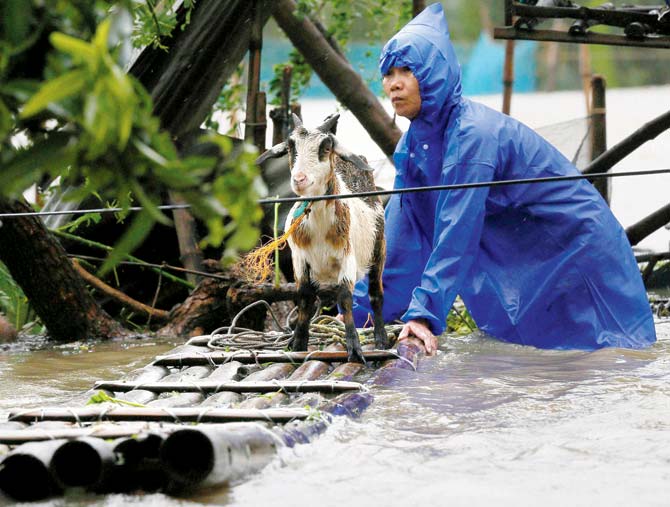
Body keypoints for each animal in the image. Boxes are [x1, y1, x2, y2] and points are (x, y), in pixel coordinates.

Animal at [258, 113, 394, 364]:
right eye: (290, 146)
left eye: (326, 146)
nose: (299, 179)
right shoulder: (300, 260)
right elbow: (304, 297)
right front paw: (298, 343)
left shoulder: (347, 258)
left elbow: (345, 297)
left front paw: (354, 349)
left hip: (379, 248)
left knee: (376, 294)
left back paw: (381, 339)